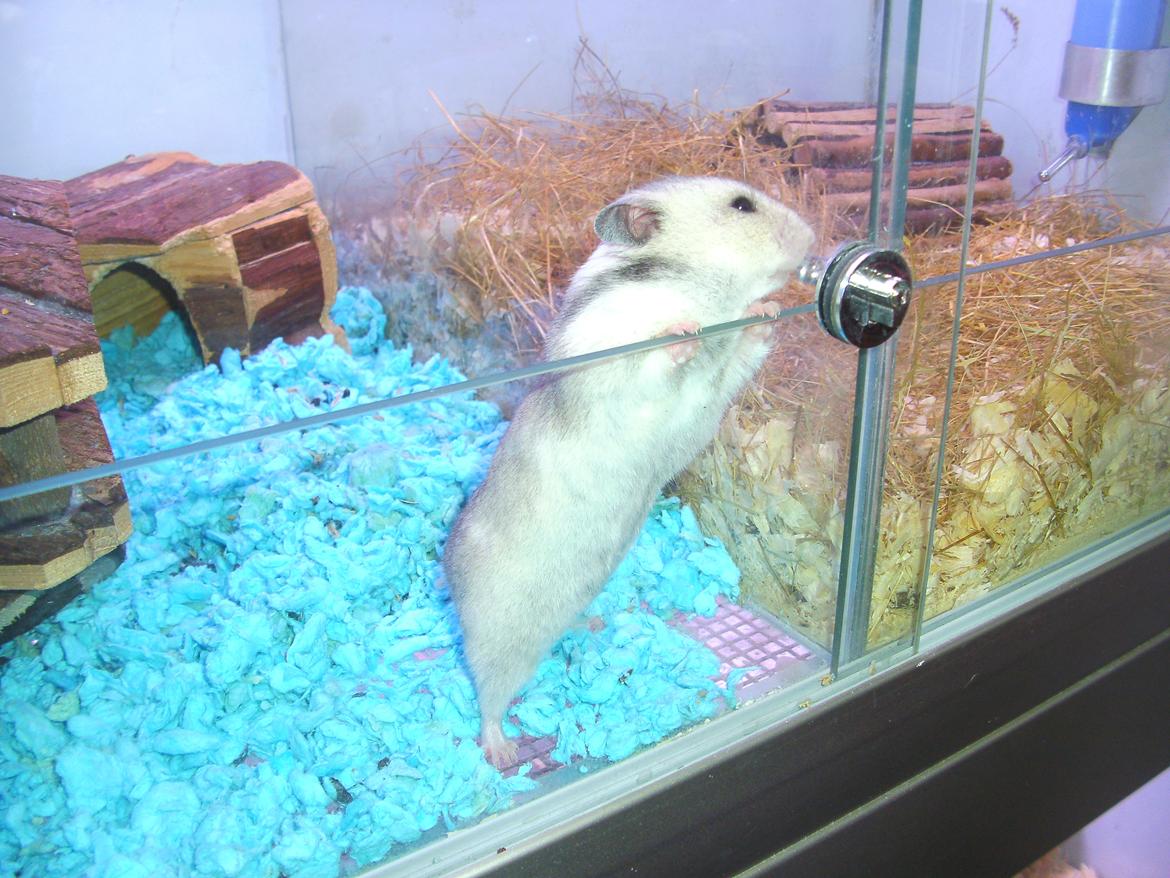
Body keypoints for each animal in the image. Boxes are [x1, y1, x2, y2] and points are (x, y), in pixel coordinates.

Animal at [442, 176, 814, 767]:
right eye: (741, 205)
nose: (813, 236)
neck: (702, 290)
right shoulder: (617, 366)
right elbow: (658, 360)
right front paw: (684, 331)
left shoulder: (712, 390)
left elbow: (736, 357)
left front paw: (767, 312)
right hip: (499, 644)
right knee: (488, 700)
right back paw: (502, 753)